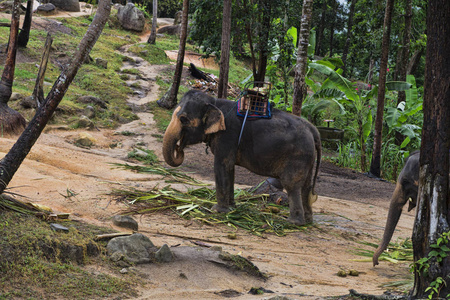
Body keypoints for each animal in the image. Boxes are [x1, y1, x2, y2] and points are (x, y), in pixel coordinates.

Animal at [163, 89, 322, 225]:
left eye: (183, 119)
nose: (179, 148)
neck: (214, 102)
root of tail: (313, 130)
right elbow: (230, 169)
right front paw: (232, 208)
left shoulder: (227, 135)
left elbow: (221, 166)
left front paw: (217, 211)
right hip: (308, 157)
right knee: (306, 186)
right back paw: (308, 221)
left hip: (298, 156)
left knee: (291, 185)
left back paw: (292, 222)